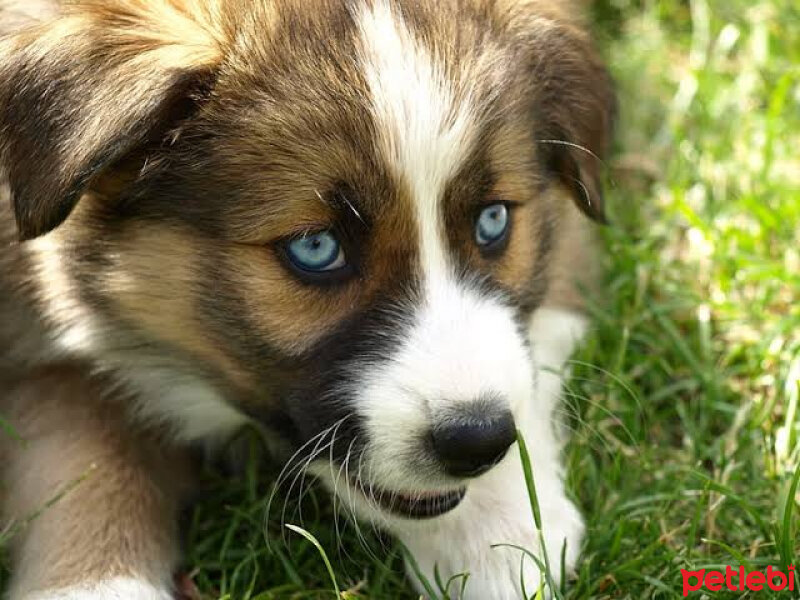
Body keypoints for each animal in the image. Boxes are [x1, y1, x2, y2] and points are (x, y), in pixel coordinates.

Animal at [0, 2, 616, 596]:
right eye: (316, 248)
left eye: (493, 221)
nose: (479, 441)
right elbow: (83, 451)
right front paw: (93, 584)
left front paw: (497, 530)